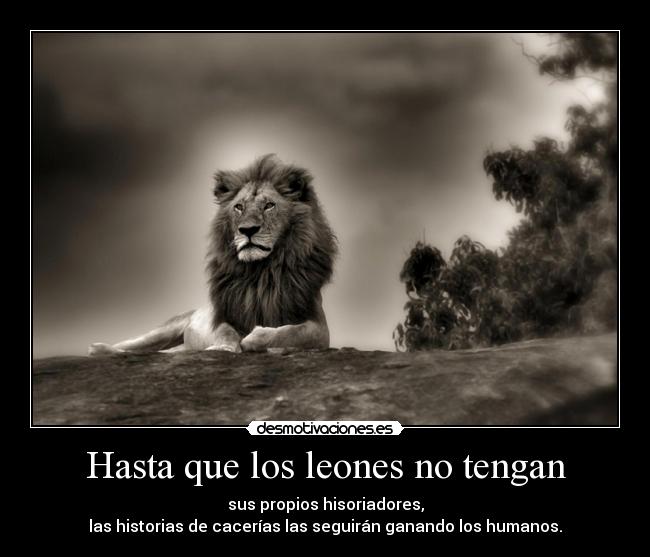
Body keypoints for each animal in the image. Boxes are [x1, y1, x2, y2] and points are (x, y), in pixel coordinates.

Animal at [88, 154, 337, 355]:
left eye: (269, 205)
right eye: (238, 207)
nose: (247, 230)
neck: (260, 272)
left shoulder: (319, 327)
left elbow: (292, 332)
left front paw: (256, 338)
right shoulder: (222, 316)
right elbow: (226, 332)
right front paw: (224, 347)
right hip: (165, 329)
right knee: (136, 344)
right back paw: (99, 348)